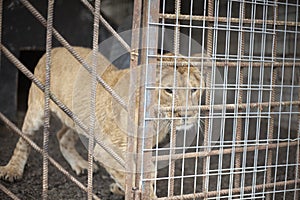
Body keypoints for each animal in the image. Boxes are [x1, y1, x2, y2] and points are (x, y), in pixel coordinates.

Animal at [0, 47, 204, 198]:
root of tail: (54, 48)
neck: (158, 120)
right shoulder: (107, 149)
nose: (188, 114)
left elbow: (146, 173)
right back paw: (12, 170)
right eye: (169, 90)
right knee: (24, 138)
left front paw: (122, 188)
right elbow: (128, 173)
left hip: (80, 119)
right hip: (37, 109)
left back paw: (80, 165)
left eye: (194, 90)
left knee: (62, 135)